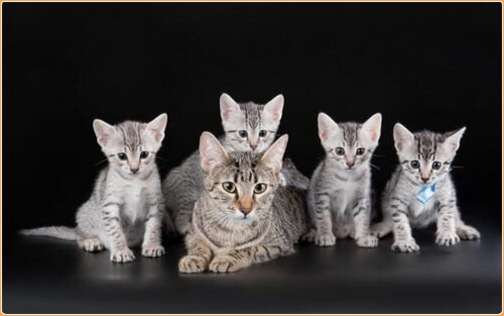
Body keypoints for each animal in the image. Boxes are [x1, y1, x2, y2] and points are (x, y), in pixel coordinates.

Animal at [20, 115, 168, 262]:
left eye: (144, 154)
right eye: (122, 156)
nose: (134, 168)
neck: (134, 181)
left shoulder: (155, 202)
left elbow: (154, 226)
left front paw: (152, 245)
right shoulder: (110, 204)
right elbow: (115, 231)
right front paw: (121, 250)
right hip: (85, 214)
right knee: (79, 234)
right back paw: (90, 241)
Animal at [179, 132, 310, 272]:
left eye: (259, 188)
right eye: (229, 186)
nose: (246, 209)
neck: (230, 228)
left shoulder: (279, 244)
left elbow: (248, 248)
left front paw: (227, 257)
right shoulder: (192, 234)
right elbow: (198, 245)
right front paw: (194, 257)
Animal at [304, 112, 382, 248]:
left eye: (360, 151)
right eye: (339, 151)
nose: (350, 163)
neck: (347, 178)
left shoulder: (362, 197)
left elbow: (363, 217)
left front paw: (363, 236)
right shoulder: (321, 194)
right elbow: (323, 217)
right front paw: (325, 235)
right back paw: (314, 233)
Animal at [370, 123, 480, 252]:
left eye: (436, 165)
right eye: (414, 164)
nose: (425, 178)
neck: (422, 188)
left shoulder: (447, 195)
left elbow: (447, 215)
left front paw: (447, 233)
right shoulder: (398, 199)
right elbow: (400, 222)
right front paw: (404, 241)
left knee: (455, 214)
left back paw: (463, 228)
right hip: (388, 193)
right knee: (389, 218)